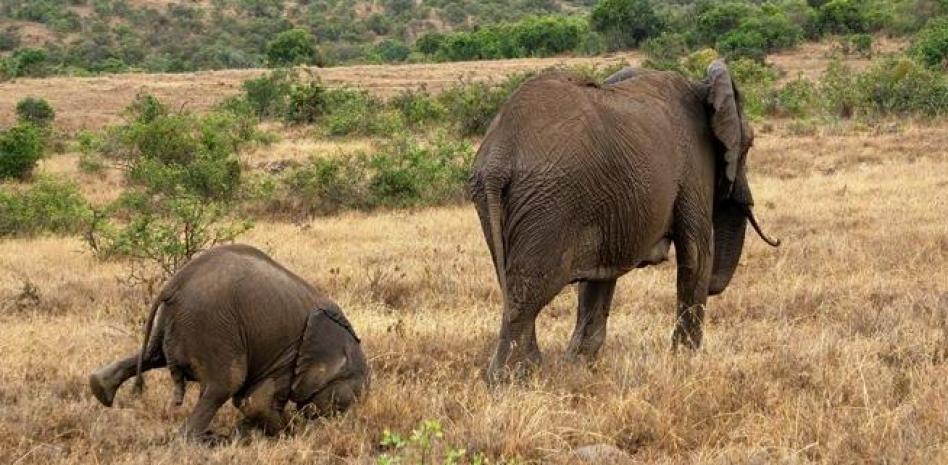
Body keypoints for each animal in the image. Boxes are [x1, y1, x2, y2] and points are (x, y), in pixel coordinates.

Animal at [88, 244, 369, 441]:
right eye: (344, 402)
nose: (333, 424)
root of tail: (173, 285)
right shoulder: (291, 353)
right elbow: (255, 402)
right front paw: (289, 434)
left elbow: (248, 402)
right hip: (211, 324)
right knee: (223, 384)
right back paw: (194, 443)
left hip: (177, 324)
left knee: (151, 356)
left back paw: (100, 390)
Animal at [469, 60, 780, 381]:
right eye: (750, 143)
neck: (701, 85)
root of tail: (498, 158)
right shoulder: (695, 165)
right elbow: (697, 254)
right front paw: (685, 360)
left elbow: (599, 273)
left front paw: (580, 364)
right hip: (547, 204)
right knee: (530, 290)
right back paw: (514, 378)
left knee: (513, 288)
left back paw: (524, 372)